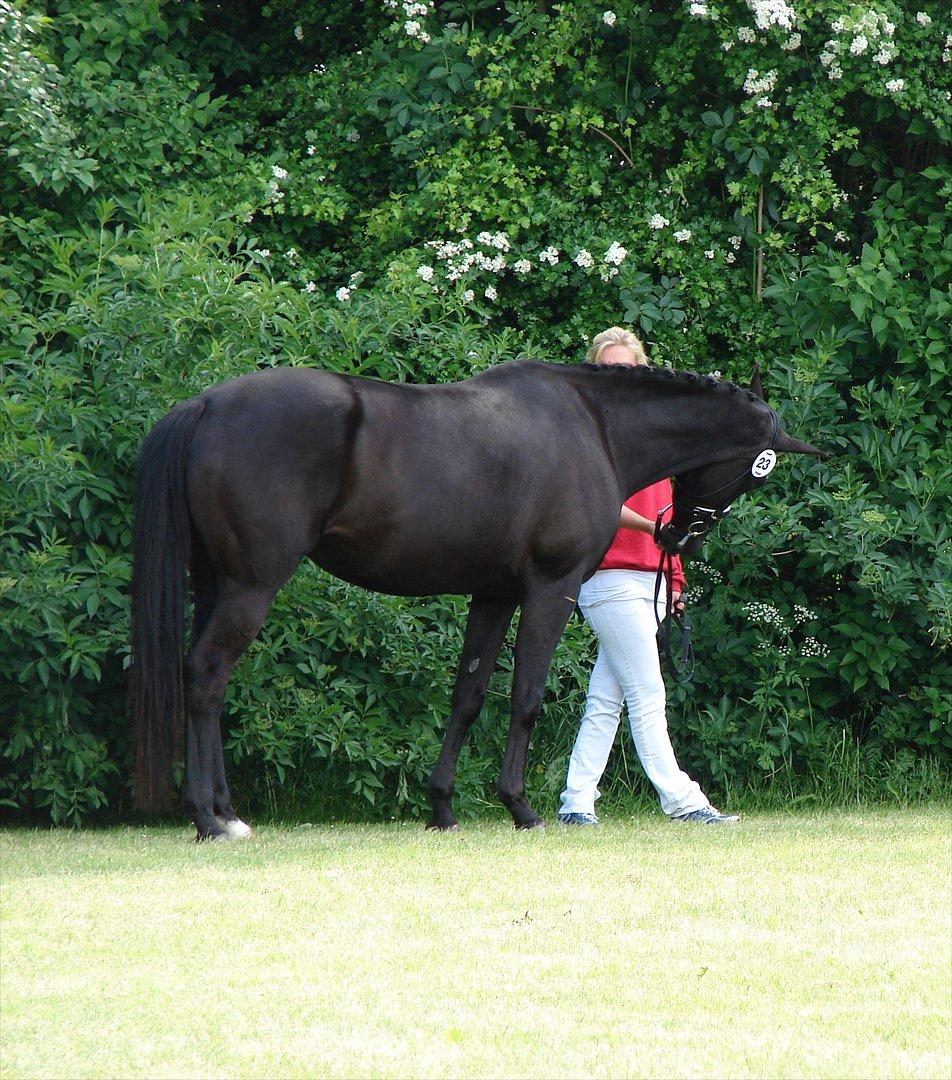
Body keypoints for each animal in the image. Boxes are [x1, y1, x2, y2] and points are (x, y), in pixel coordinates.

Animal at [130, 358, 821, 838]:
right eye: (752, 471)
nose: (678, 537)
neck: (592, 425)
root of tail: (206, 404)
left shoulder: (492, 595)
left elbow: (467, 696)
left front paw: (442, 807)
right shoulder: (551, 589)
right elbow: (525, 698)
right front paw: (521, 807)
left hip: (215, 583)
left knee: (206, 681)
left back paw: (227, 811)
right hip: (250, 586)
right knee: (207, 676)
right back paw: (210, 819)